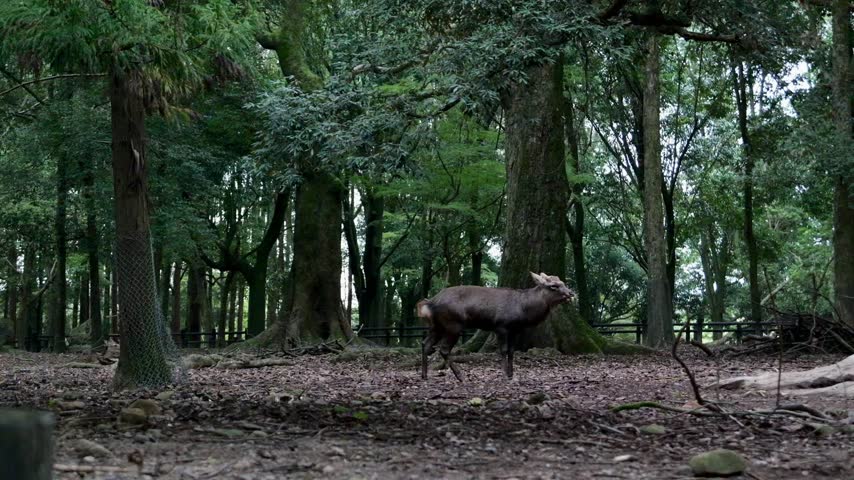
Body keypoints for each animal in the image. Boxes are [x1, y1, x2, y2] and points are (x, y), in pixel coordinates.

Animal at [416, 272, 575, 381]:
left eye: (562, 282)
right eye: (553, 286)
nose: (571, 293)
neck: (524, 310)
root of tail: (430, 302)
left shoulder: (515, 330)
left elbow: (512, 351)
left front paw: (511, 375)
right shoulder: (501, 326)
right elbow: (503, 350)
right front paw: (505, 374)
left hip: (437, 326)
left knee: (425, 343)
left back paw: (424, 375)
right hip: (453, 324)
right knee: (443, 349)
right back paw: (460, 376)